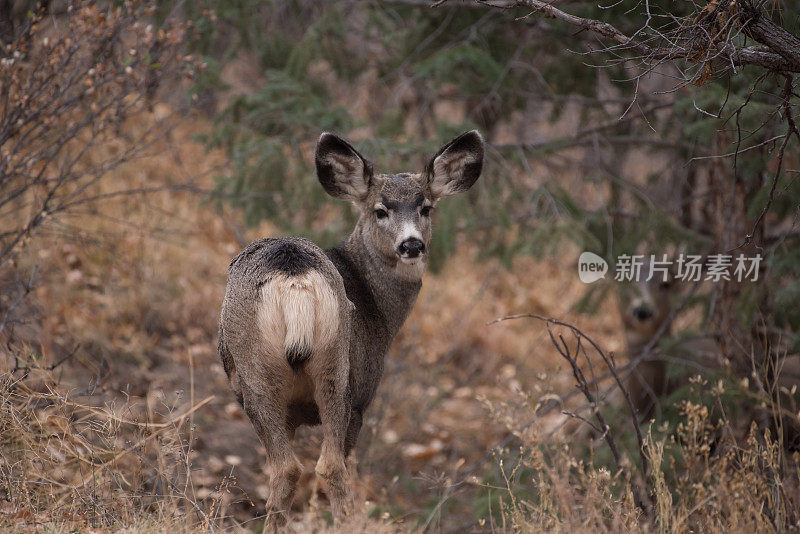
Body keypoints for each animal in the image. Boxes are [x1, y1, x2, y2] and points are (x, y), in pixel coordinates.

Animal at [216, 131, 484, 528]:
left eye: (426, 208)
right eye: (380, 210)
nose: (412, 244)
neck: (376, 308)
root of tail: (295, 275)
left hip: (276, 377)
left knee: (304, 469)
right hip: (331, 372)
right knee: (316, 467)